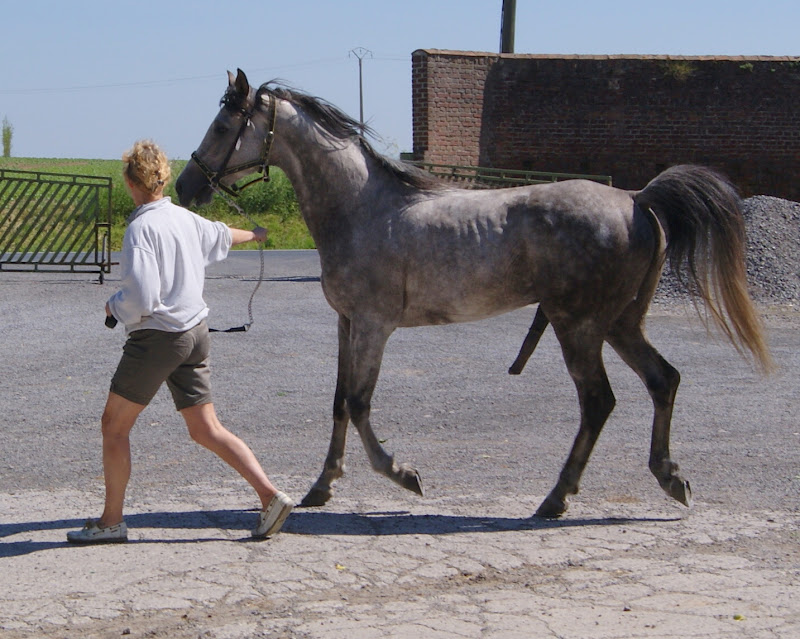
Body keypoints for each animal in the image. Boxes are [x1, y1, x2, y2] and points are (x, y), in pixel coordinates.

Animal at [175, 70, 768, 520]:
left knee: (599, 402)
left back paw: (556, 498)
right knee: (663, 380)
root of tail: (638, 199)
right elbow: (340, 402)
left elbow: (361, 403)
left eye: (225, 123)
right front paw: (323, 485)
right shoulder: (347, 324)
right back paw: (669, 478)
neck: (362, 208)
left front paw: (404, 475)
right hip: (619, 323)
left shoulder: (373, 325)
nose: (186, 186)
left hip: (579, 326)